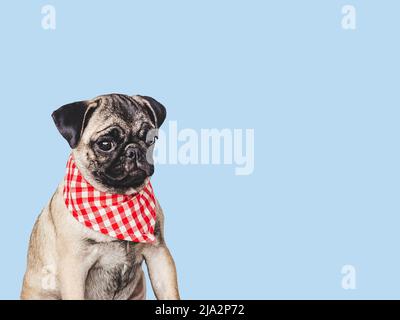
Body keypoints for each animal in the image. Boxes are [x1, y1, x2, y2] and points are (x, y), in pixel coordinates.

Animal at [19, 93, 180, 300]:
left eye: (151, 140)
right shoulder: (74, 267)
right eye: (105, 144)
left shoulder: (158, 253)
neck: (117, 197)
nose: (134, 150)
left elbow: (169, 292)